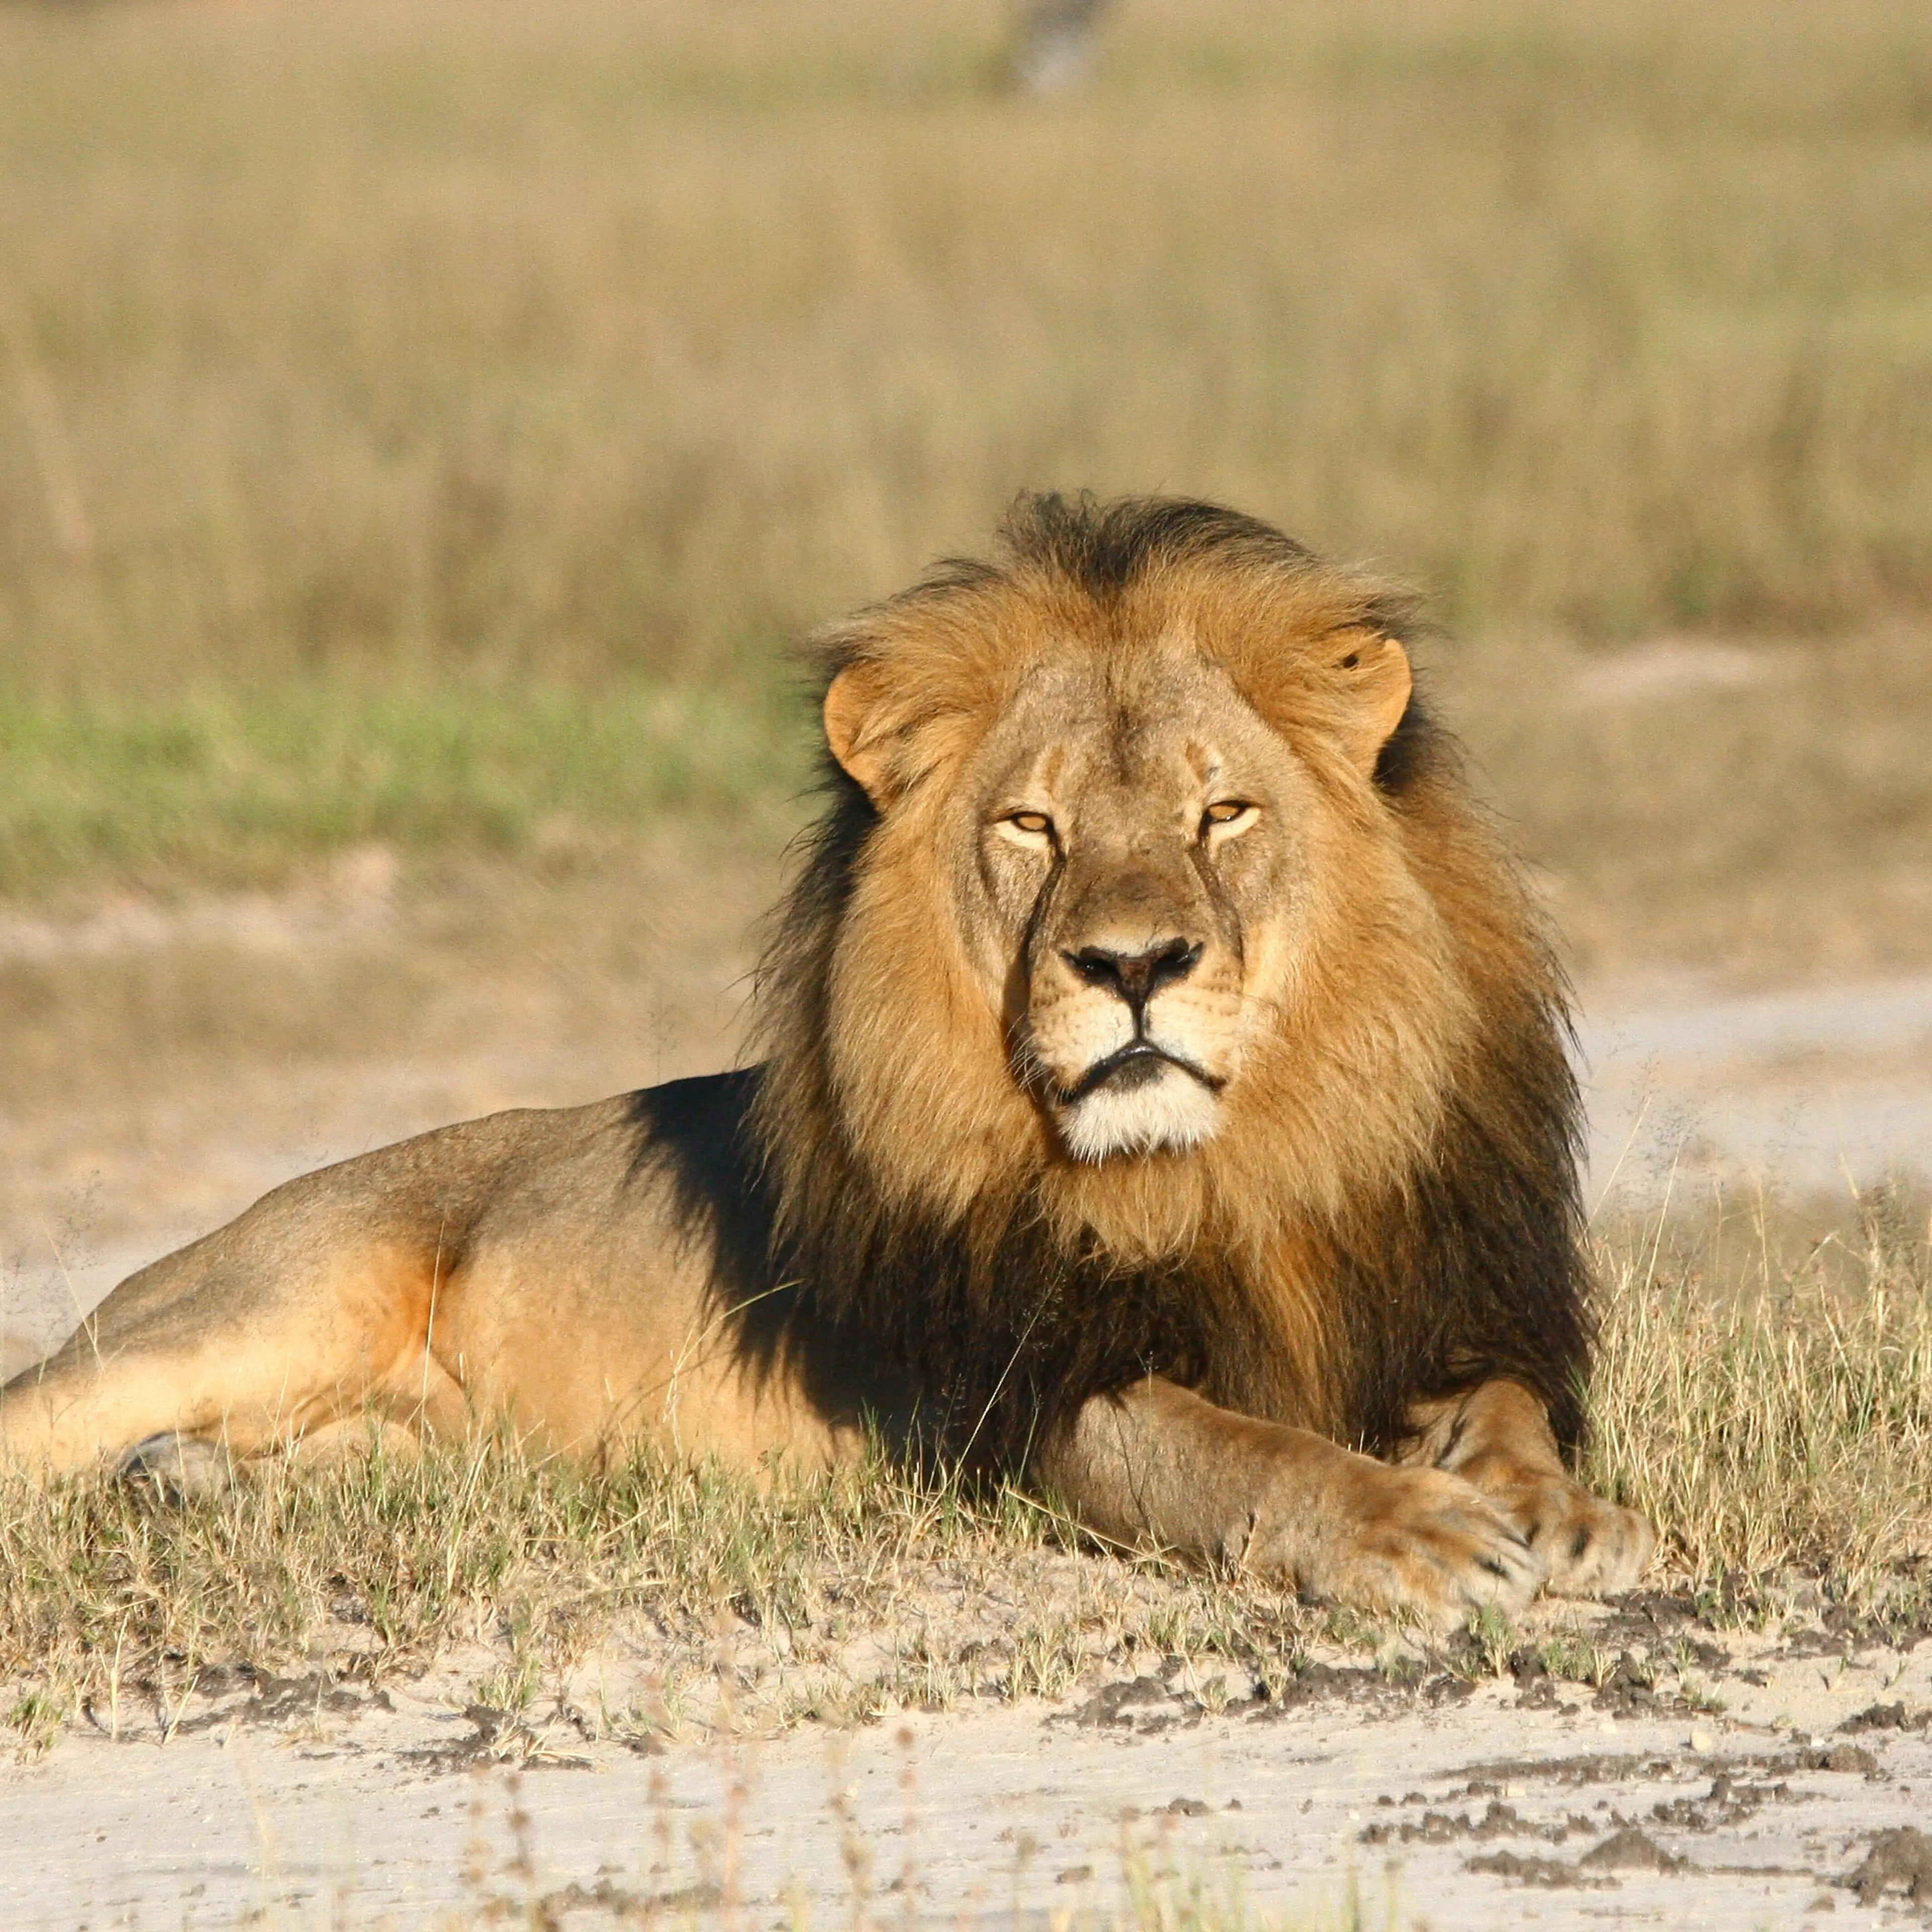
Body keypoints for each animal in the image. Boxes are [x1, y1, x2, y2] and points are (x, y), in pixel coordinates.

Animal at [1, 495, 1653, 1625]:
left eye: (1220, 812)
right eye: (1032, 825)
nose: (1131, 966)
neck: (1228, 1165)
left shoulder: (1436, 1300)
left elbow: (1504, 1406)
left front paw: (1562, 1513)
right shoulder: (1025, 1396)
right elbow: (1237, 1452)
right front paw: (1412, 1529)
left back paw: (192, 1479)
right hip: (267, 1303)